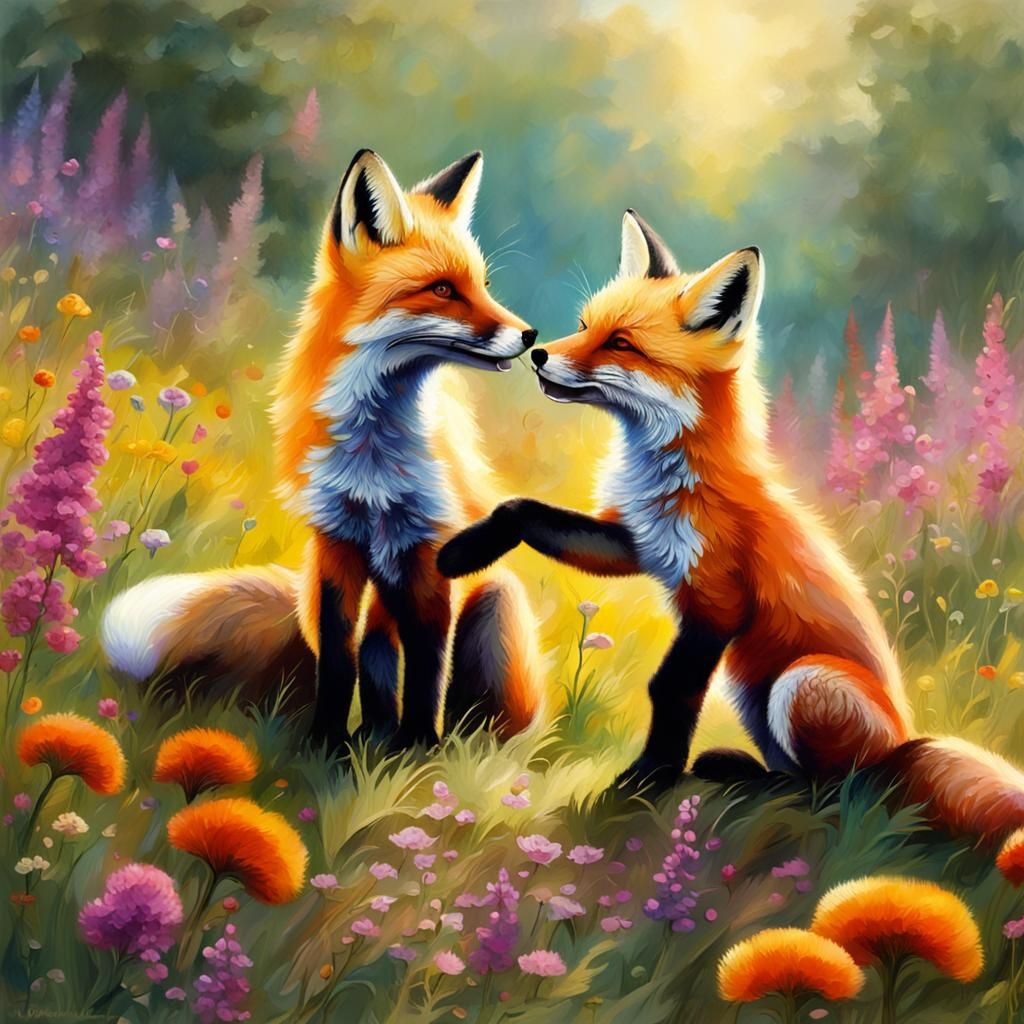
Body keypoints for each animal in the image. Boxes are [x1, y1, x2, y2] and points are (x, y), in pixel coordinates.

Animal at [102, 149, 544, 751]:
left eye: (481, 284)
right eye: (442, 289)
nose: (531, 336)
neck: (373, 456)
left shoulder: (430, 551)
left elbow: (427, 668)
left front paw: (418, 751)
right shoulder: (336, 544)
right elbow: (340, 661)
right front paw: (326, 745)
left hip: (495, 604)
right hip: (317, 594)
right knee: (368, 657)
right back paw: (368, 737)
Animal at [438, 208, 1024, 846]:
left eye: (621, 344)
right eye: (585, 325)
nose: (538, 352)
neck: (669, 477)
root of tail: (904, 744)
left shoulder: (719, 598)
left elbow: (669, 689)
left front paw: (649, 777)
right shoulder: (636, 541)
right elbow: (522, 510)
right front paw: (462, 553)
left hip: (803, 682)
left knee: (839, 792)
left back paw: (757, 781)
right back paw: (738, 768)